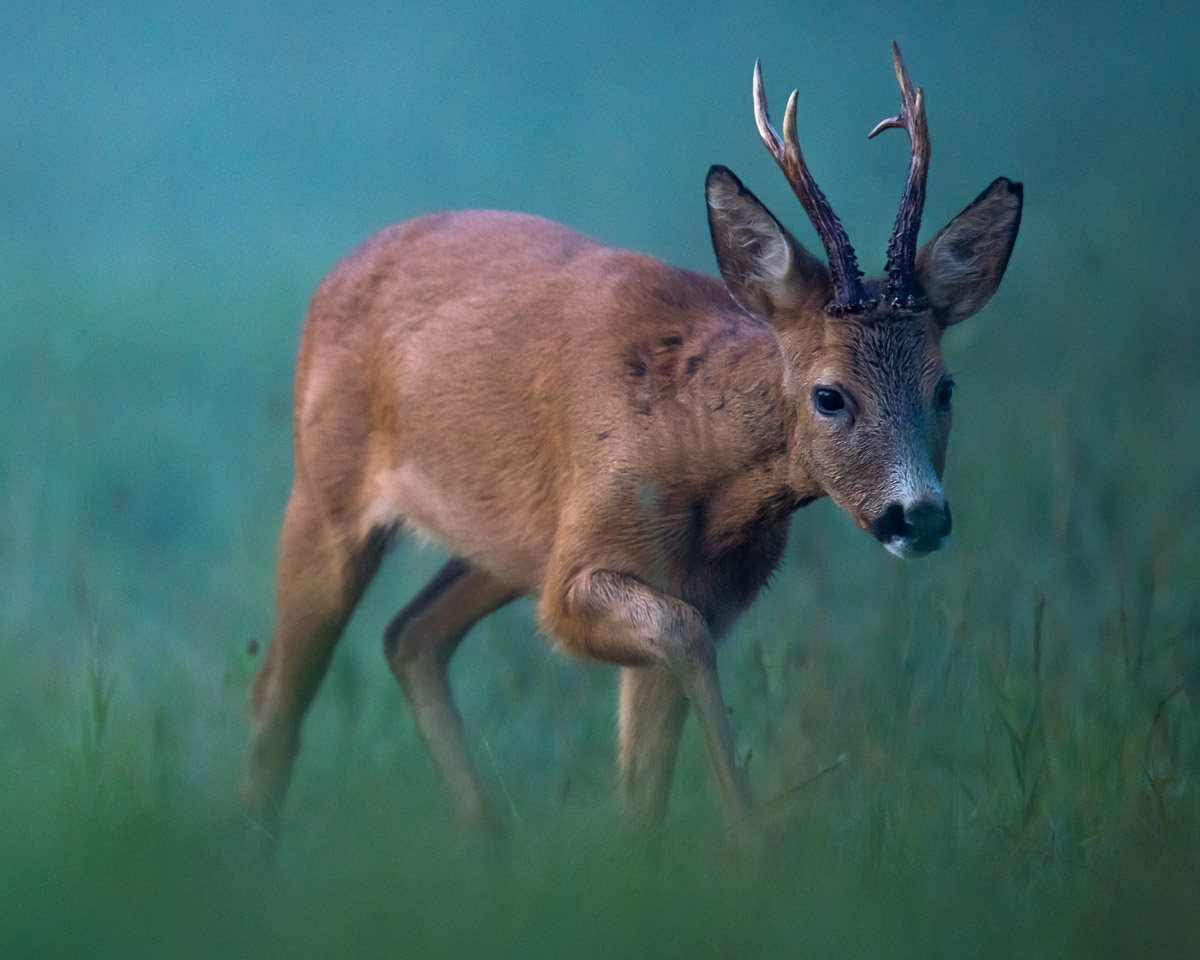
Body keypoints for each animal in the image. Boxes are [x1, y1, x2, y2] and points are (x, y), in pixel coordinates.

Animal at [241, 45, 1022, 840]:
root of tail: (335, 274)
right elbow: (684, 640)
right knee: (276, 696)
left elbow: (646, 780)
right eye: (829, 395)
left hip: (507, 544)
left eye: (945, 388)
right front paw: (749, 833)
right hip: (326, 494)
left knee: (409, 636)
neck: (699, 460)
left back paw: (487, 840)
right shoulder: (580, 576)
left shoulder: (685, 588)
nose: (919, 516)